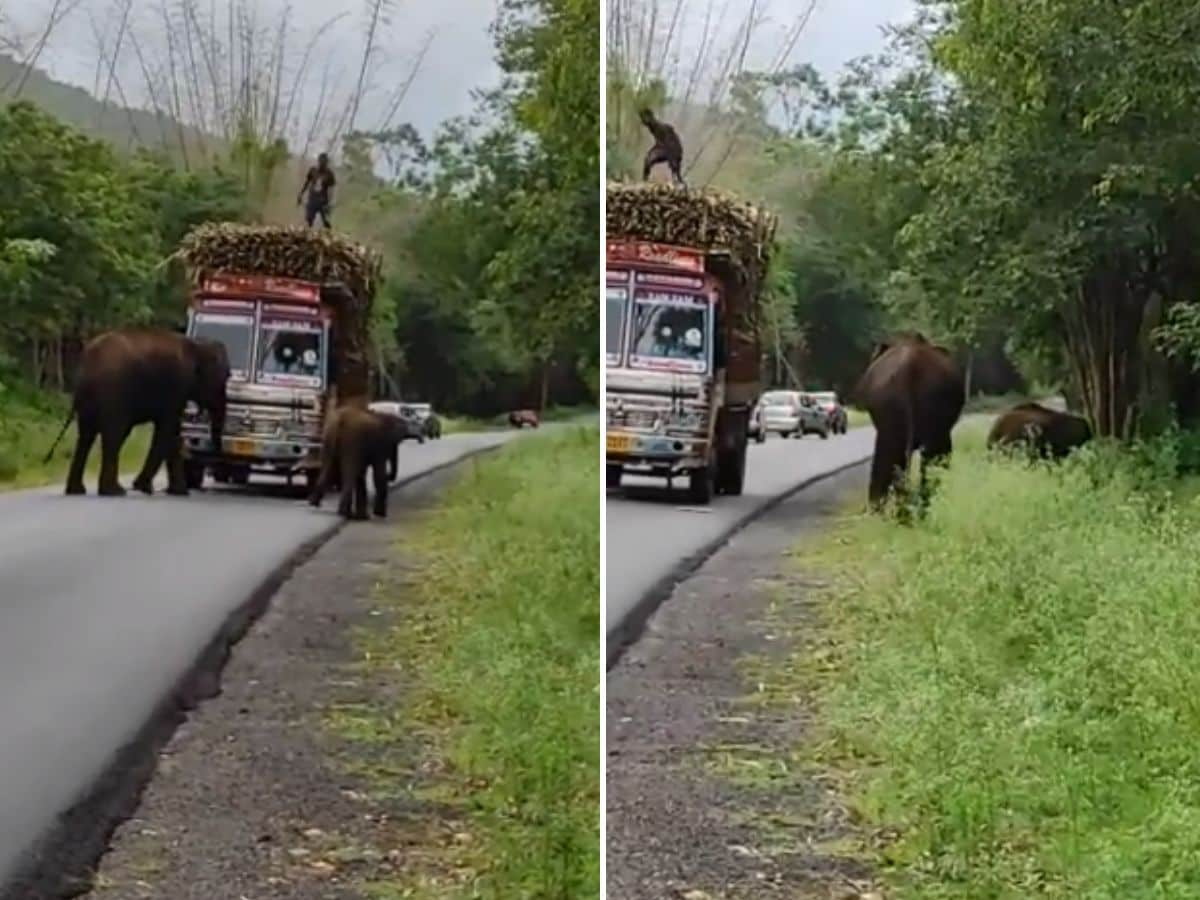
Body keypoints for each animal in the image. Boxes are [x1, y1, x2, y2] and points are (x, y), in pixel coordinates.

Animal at [46, 331, 230, 496]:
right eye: (224, 378)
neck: (196, 346)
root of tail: (87, 363)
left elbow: (173, 435)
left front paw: (178, 492)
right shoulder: (176, 387)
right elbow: (166, 431)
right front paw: (143, 487)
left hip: (88, 401)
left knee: (86, 437)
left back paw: (77, 491)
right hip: (113, 394)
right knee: (114, 436)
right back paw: (115, 491)